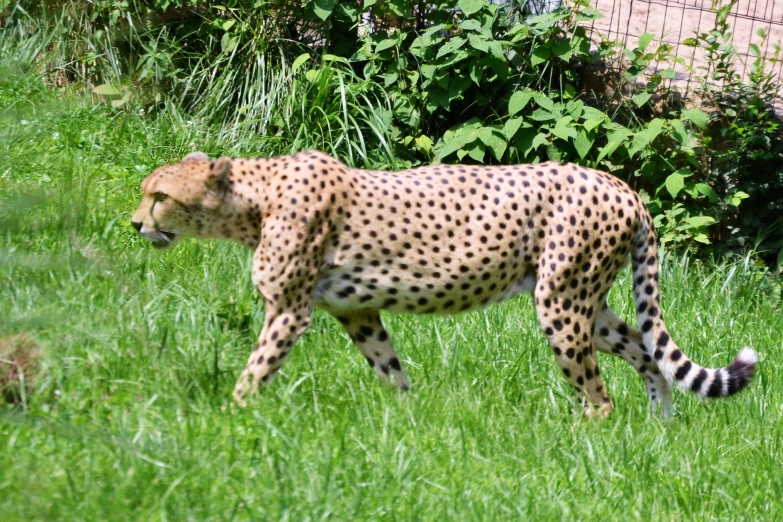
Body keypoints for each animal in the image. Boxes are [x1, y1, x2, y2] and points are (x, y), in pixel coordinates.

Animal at [132, 148, 756, 416]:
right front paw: (410, 423)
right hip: (585, 303)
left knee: (598, 394)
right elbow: (390, 368)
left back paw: (589, 441)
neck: (252, 199)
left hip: (561, 303)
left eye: (159, 196)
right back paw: (656, 427)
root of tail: (621, 184)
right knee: (647, 354)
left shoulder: (289, 311)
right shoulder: (356, 313)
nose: (135, 224)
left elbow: (255, 370)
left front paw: (230, 418)